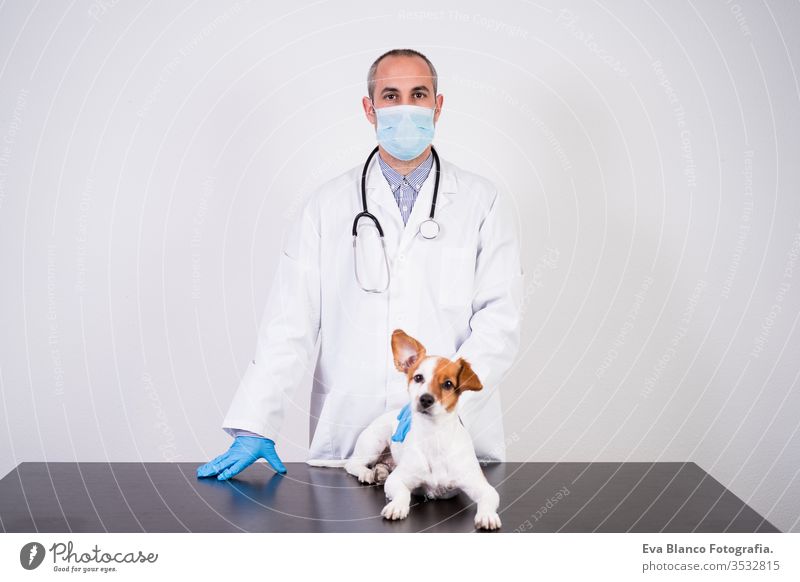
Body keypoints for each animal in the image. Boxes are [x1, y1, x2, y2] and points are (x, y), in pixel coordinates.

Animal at [318, 330, 500, 532]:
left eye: (448, 384)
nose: (425, 399)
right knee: (353, 464)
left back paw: (380, 472)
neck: (433, 437)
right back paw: (368, 473)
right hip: (374, 443)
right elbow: (403, 493)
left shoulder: (481, 486)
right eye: (418, 378)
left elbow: (488, 498)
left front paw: (487, 515)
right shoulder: (397, 480)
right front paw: (397, 506)